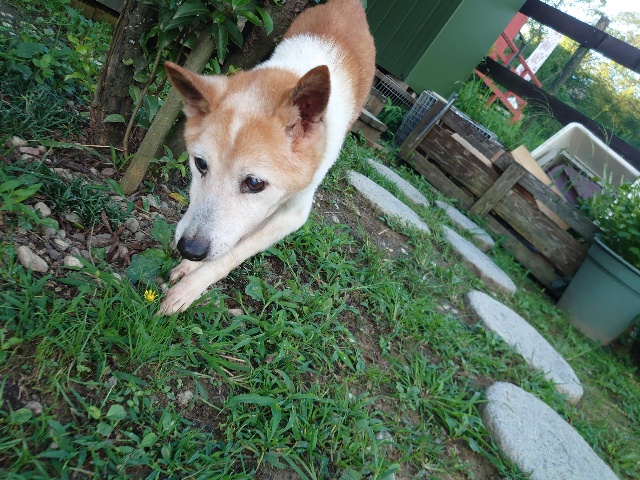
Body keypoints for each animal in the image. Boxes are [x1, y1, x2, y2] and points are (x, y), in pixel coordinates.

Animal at [160, 0, 375, 314]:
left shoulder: (295, 213)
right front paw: (188, 267)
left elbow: (233, 254)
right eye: (200, 164)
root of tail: (349, 5)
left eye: (254, 183)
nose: (190, 249)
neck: (292, 74)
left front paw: (187, 290)